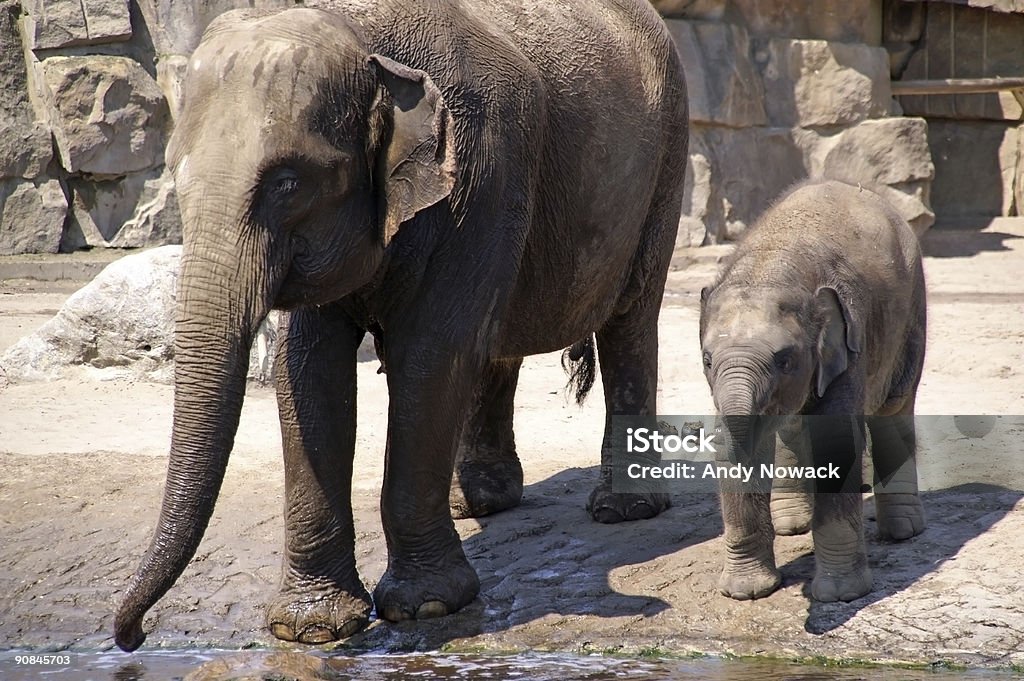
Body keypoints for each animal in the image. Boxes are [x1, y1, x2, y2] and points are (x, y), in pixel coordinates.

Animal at [112, 0, 688, 655]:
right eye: (175, 178)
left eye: (288, 183)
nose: (132, 636)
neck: (365, 38)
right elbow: (307, 369)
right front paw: (309, 628)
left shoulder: (483, 167)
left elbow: (430, 356)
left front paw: (426, 606)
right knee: (497, 341)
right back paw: (477, 501)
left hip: (666, 157)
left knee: (629, 320)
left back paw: (624, 509)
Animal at [700, 179, 925, 602]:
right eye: (707, 361)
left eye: (784, 360)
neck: (773, 261)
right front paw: (746, 593)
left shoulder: (849, 343)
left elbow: (835, 440)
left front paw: (839, 595)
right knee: (789, 426)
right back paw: (792, 525)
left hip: (911, 313)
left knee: (894, 409)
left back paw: (904, 533)